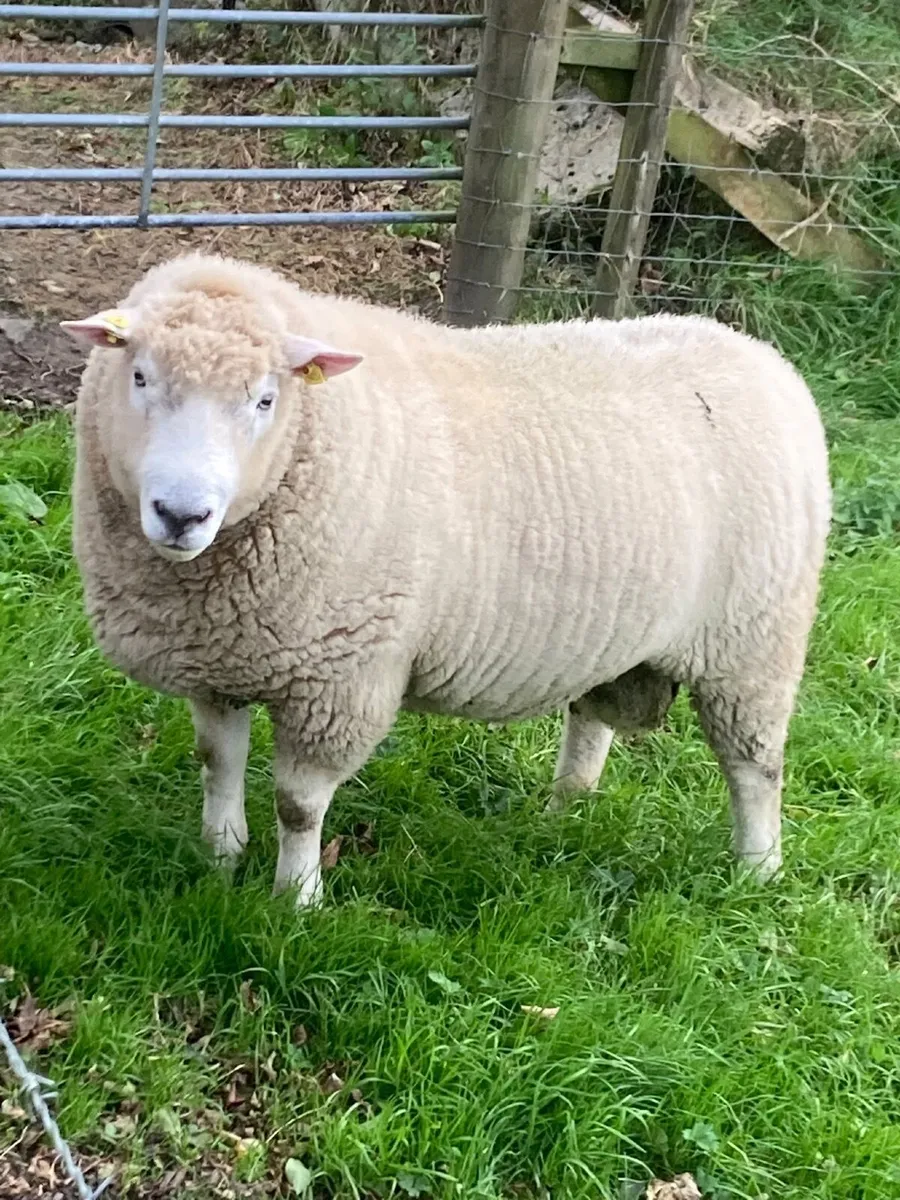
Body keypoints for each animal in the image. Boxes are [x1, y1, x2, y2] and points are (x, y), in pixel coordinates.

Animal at [62, 253, 830, 904]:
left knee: (755, 766)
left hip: (753, 643)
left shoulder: (340, 677)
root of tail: (763, 356)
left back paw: (757, 872)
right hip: (622, 637)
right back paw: (563, 814)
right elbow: (216, 764)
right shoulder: (220, 659)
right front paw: (219, 856)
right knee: (590, 722)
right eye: (138, 377)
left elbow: (299, 806)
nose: (181, 515)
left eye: (264, 400)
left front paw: (295, 900)